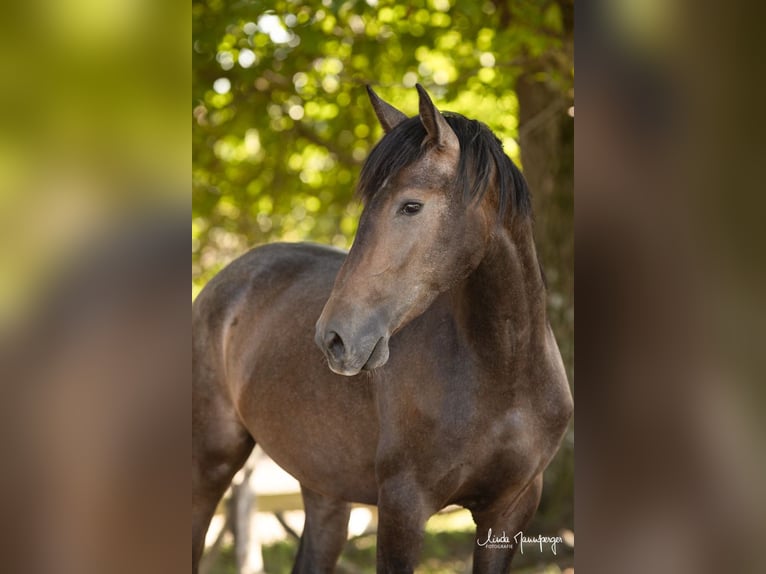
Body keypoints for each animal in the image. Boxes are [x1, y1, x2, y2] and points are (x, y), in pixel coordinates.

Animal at [192, 84, 573, 573]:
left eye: (411, 205)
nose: (334, 339)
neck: (505, 374)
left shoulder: (510, 510)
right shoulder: (402, 507)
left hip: (324, 490)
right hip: (208, 469)